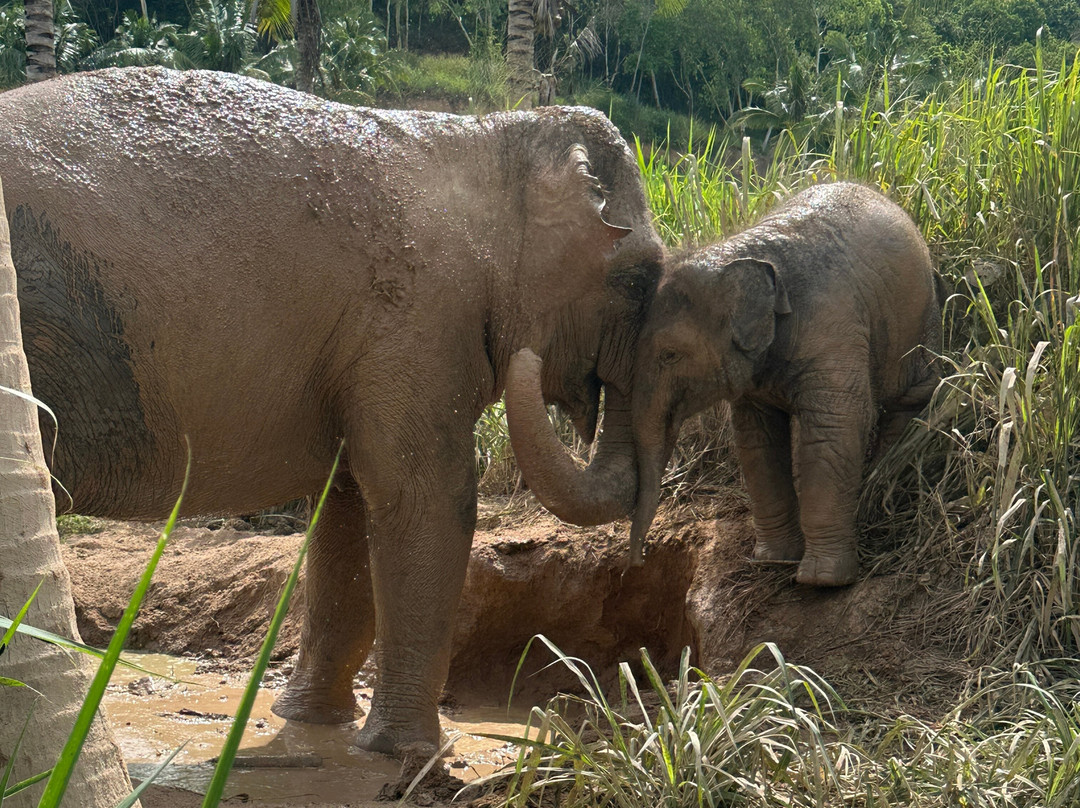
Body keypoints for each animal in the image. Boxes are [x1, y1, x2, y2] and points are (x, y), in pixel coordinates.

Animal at [0, 67, 664, 755]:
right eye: (639, 280)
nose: (636, 559)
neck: (490, 136)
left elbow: (347, 506)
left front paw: (313, 723)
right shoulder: (416, 318)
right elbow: (425, 496)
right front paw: (411, 754)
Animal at [627, 182, 941, 587]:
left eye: (669, 354)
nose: (636, 563)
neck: (749, 253)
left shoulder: (832, 324)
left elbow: (834, 425)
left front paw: (821, 580)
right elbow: (756, 437)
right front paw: (774, 560)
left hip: (921, 321)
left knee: (910, 398)